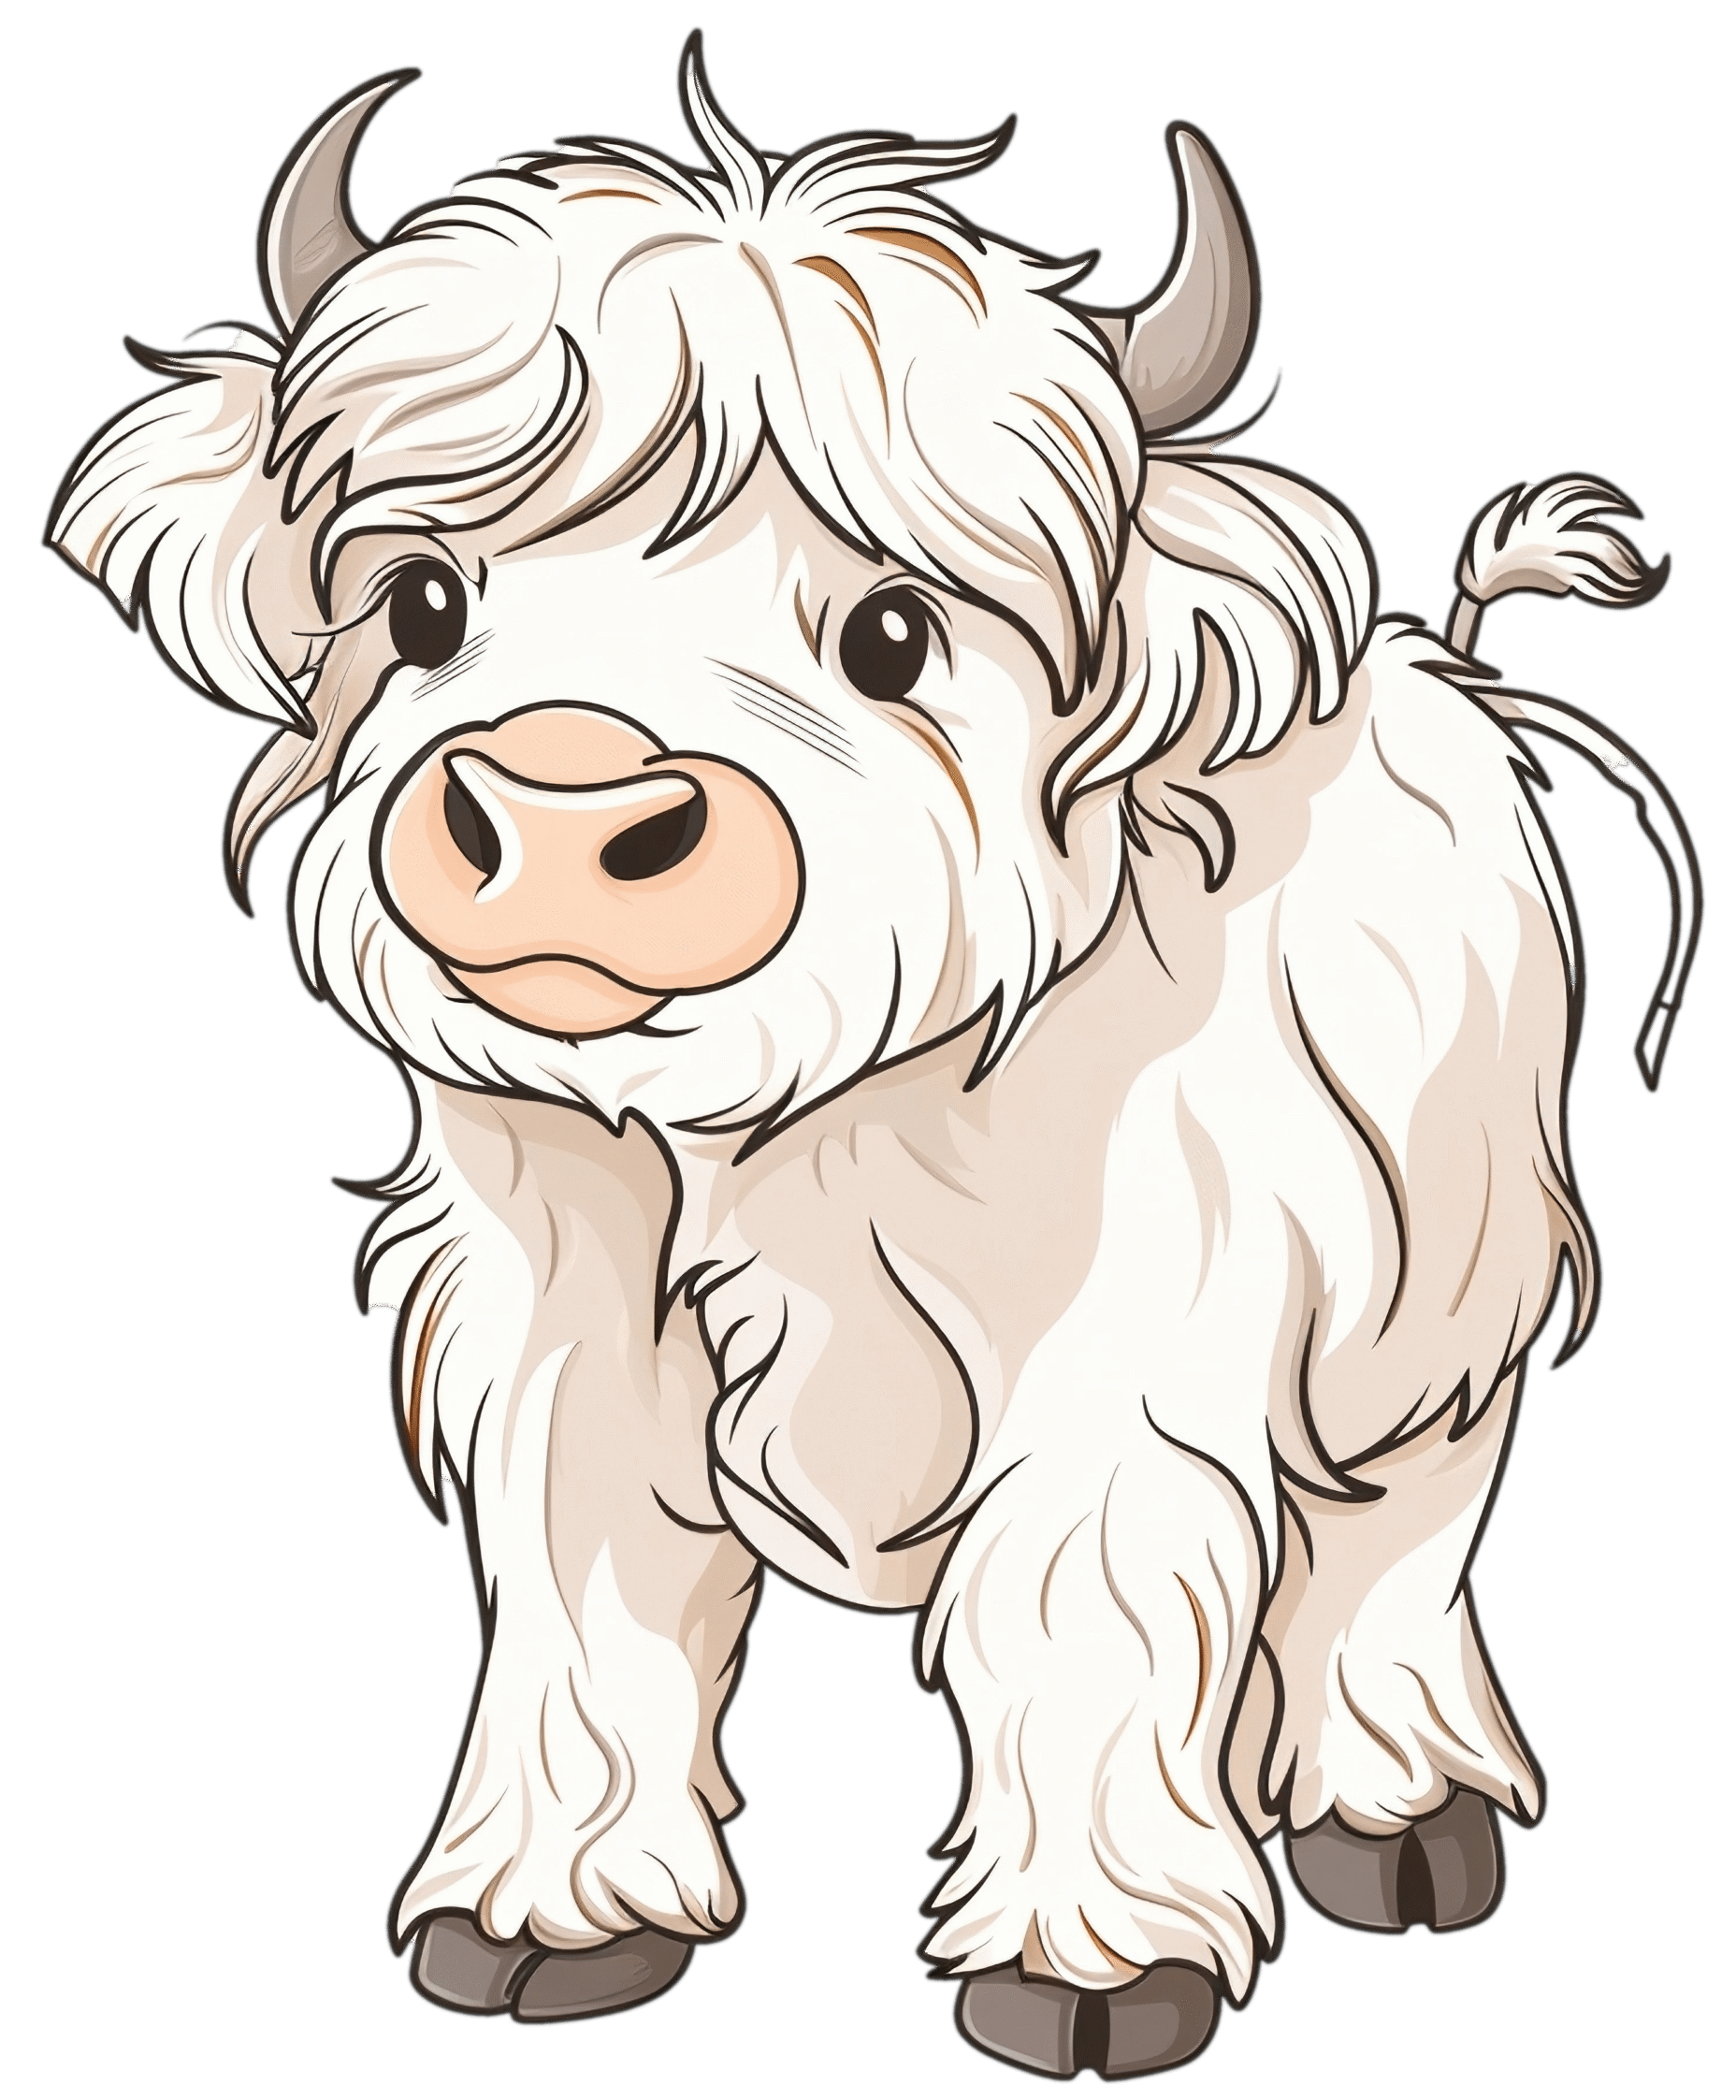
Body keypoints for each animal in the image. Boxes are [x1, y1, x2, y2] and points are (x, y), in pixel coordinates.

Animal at [45, 33, 1702, 2079]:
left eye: (895, 632)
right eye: (423, 602)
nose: (565, 806)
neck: (771, 1131)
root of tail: (1442, 670)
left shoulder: (1129, 1365)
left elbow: (1080, 1620)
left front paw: (1093, 1967)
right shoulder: (562, 1338)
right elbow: (591, 1610)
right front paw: (553, 1915)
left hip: (1438, 1310)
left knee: (1392, 1541)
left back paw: (1394, 1808)